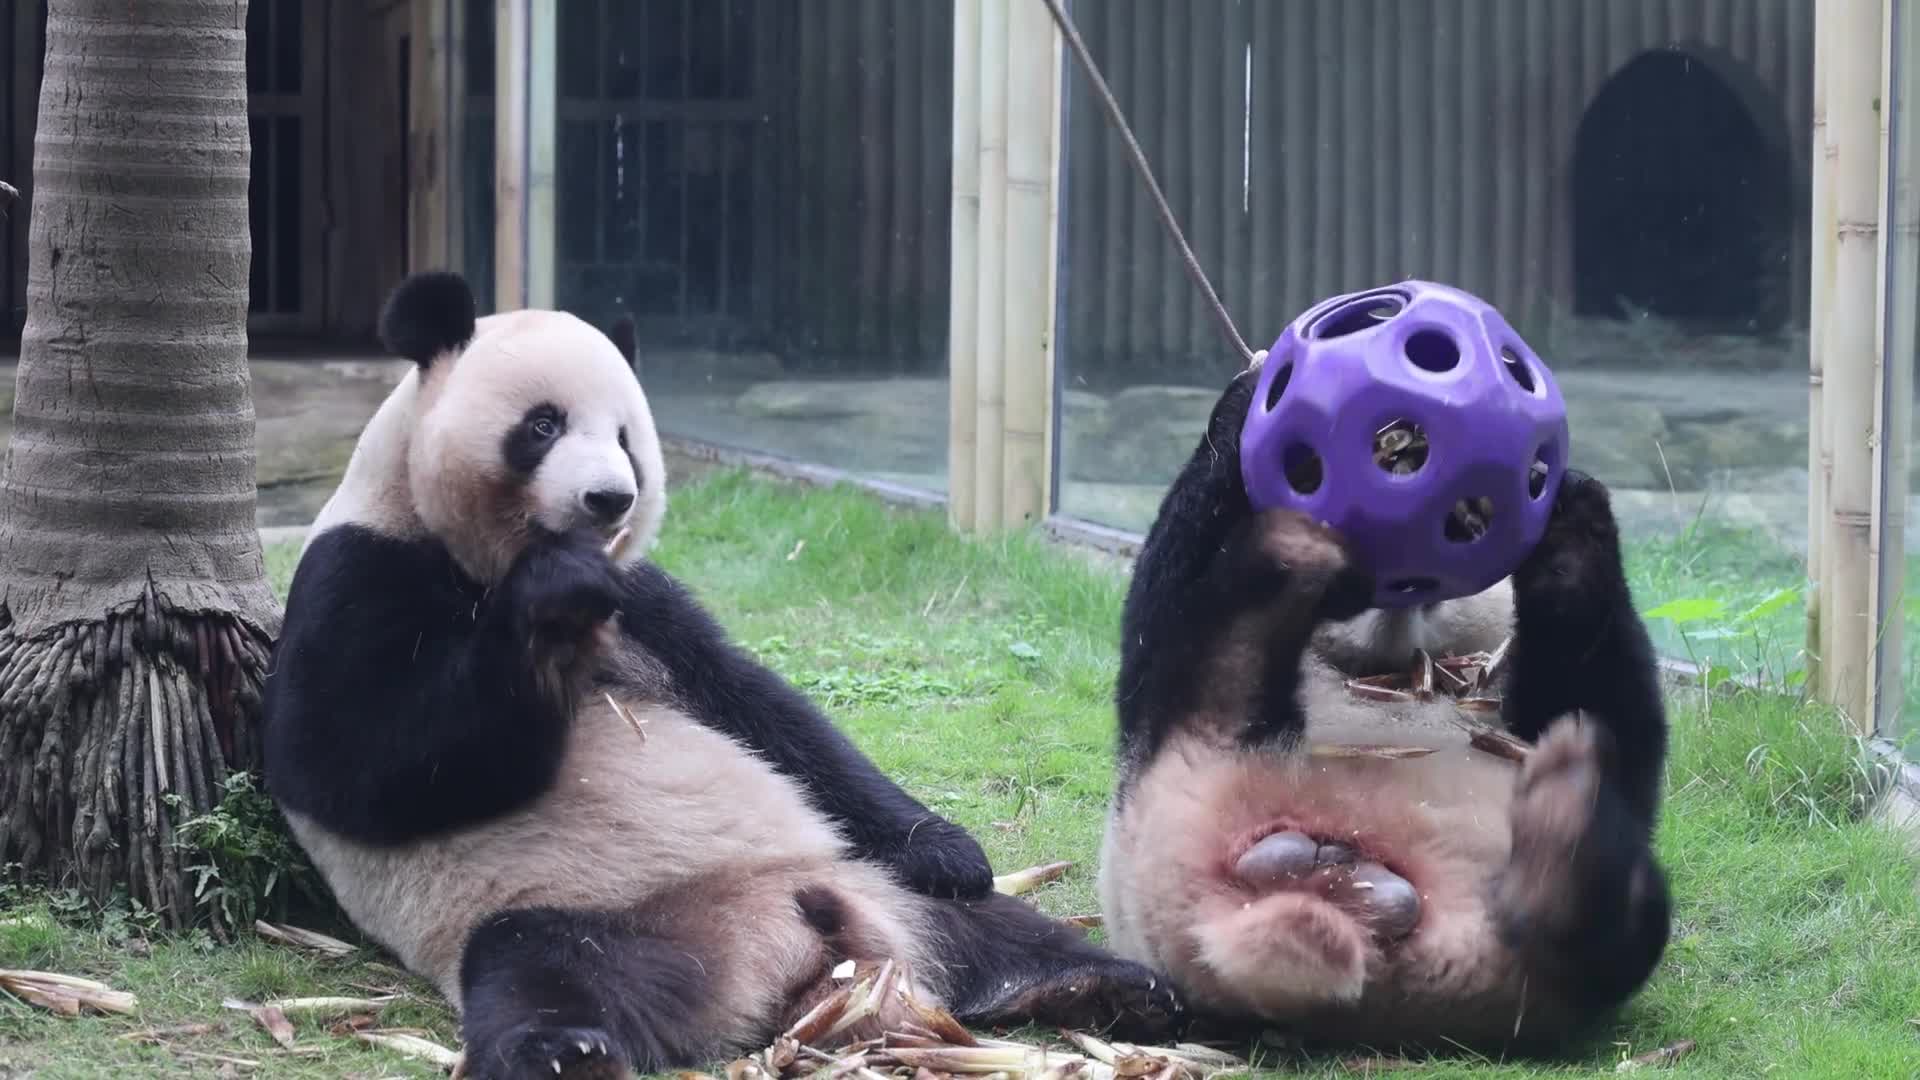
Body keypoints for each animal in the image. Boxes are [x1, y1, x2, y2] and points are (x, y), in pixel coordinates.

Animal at [260, 270, 1184, 1080]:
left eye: (626, 437)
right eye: (543, 425)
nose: (610, 499)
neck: (478, 556)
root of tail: (791, 958)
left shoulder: (649, 603)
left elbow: (760, 705)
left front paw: (950, 846)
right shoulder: (356, 573)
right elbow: (359, 763)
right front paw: (550, 602)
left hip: (869, 881)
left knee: (1002, 931)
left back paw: (1114, 988)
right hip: (573, 913)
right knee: (539, 970)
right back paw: (566, 1050)